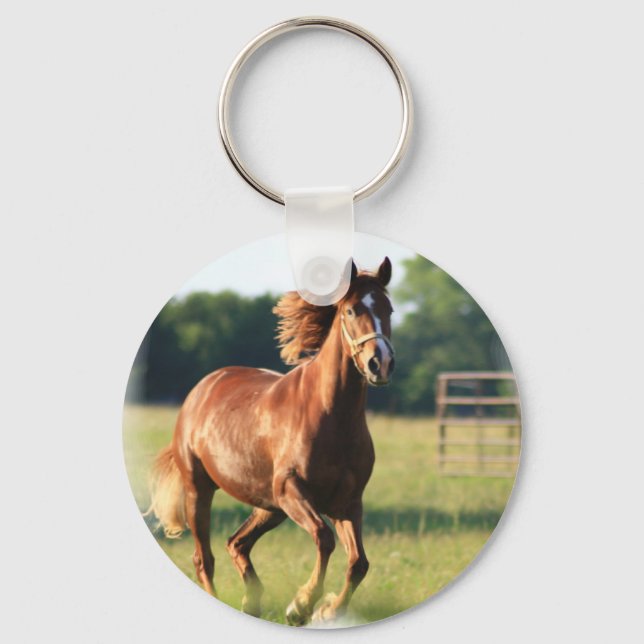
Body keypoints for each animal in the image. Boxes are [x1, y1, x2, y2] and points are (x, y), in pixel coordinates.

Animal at [147, 257, 395, 625]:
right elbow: (324, 538)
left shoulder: (348, 503)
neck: (330, 416)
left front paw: (328, 610)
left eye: (389, 309)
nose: (380, 363)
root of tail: (202, 388)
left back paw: (252, 602)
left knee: (237, 543)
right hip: (201, 491)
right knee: (204, 559)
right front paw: (301, 605)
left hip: (269, 506)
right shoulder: (291, 489)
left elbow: (358, 563)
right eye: (351, 310)